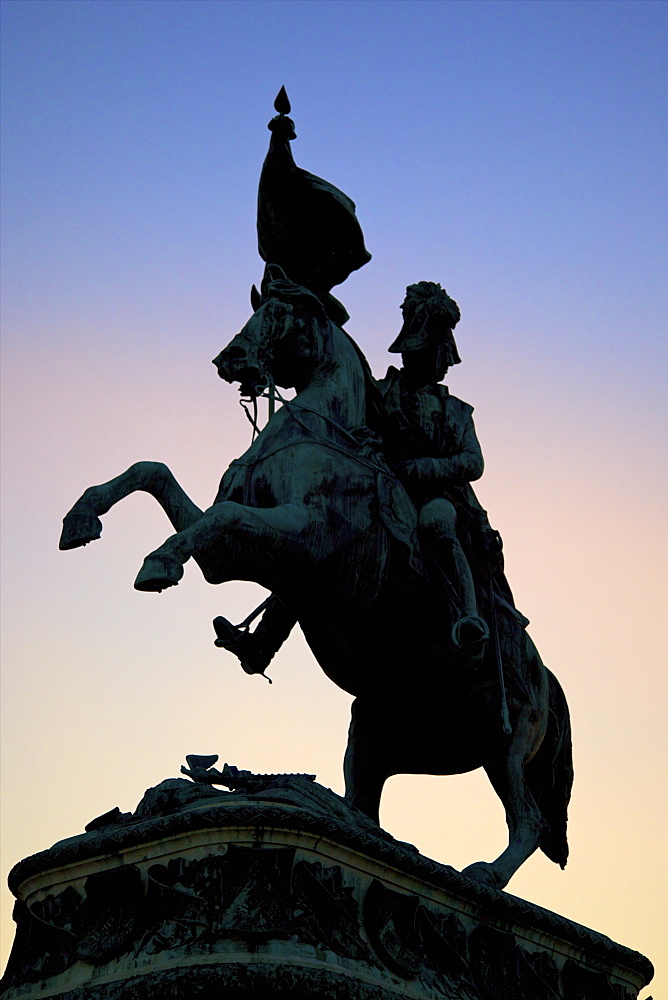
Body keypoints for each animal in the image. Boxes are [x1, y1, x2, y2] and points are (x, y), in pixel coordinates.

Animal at [60, 276, 576, 892]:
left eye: (283, 314)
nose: (229, 360)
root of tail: (548, 679)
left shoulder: (306, 537)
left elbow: (223, 515)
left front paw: (158, 562)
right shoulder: (237, 551)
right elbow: (156, 474)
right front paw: (81, 519)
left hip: (504, 741)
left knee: (529, 819)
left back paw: (484, 873)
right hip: (378, 733)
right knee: (365, 806)